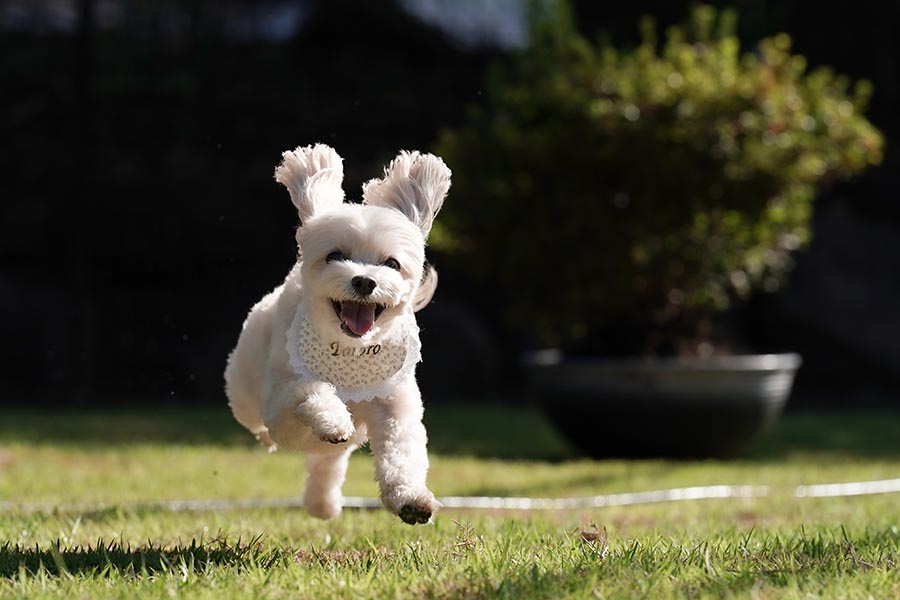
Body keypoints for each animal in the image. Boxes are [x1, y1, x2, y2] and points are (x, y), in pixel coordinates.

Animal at [225, 145, 450, 524]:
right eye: (335, 256)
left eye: (391, 263)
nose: (364, 281)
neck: (350, 351)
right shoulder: (281, 407)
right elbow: (308, 392)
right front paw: (332, 420)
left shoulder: (396, 406)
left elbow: (402, 451)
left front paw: (411, 499)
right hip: (245, 394)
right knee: (266, 424)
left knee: (327, 465)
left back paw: (323, 503)